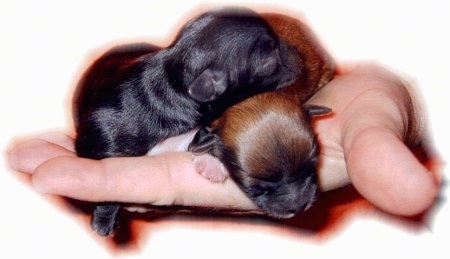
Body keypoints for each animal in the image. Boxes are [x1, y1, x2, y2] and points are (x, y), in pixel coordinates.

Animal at [74, 7, 302, 237]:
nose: (299, 55)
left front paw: (211, 161)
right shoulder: (102, 136)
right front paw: (104, 218)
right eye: (270, 59)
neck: (173, 82)